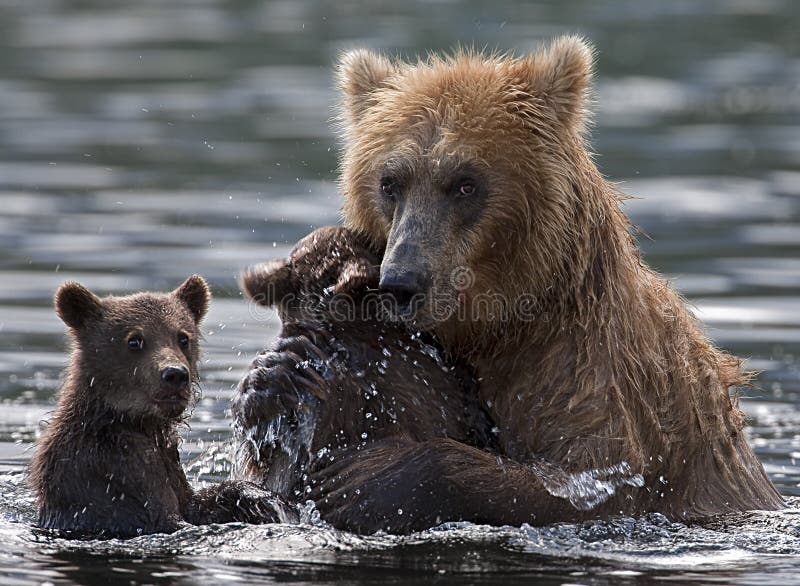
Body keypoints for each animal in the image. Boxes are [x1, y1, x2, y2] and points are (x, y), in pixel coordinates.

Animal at [28, 276, 298, 536]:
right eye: (134, 340)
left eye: (183, 337)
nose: (175, 374)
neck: (134, 422)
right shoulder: (110, 472)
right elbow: (165, 518)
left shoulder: (167, 460)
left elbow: (195, 505)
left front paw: (262, 498)